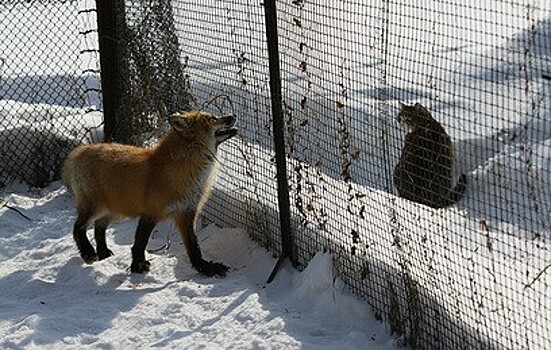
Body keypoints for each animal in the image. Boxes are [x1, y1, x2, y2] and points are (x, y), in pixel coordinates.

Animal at [62, 110, 237, 278]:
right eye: (212, 119)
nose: (233, 115)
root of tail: (82, 149)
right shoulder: (151, 212)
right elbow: (140, 242)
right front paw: (137, 266)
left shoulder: (187, 213)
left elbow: (194, 247)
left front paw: (205, 268)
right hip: (96, 207)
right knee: (78, 228)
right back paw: (88, 252)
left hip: (118, 210)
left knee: (99, 226)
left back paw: (103, 252)